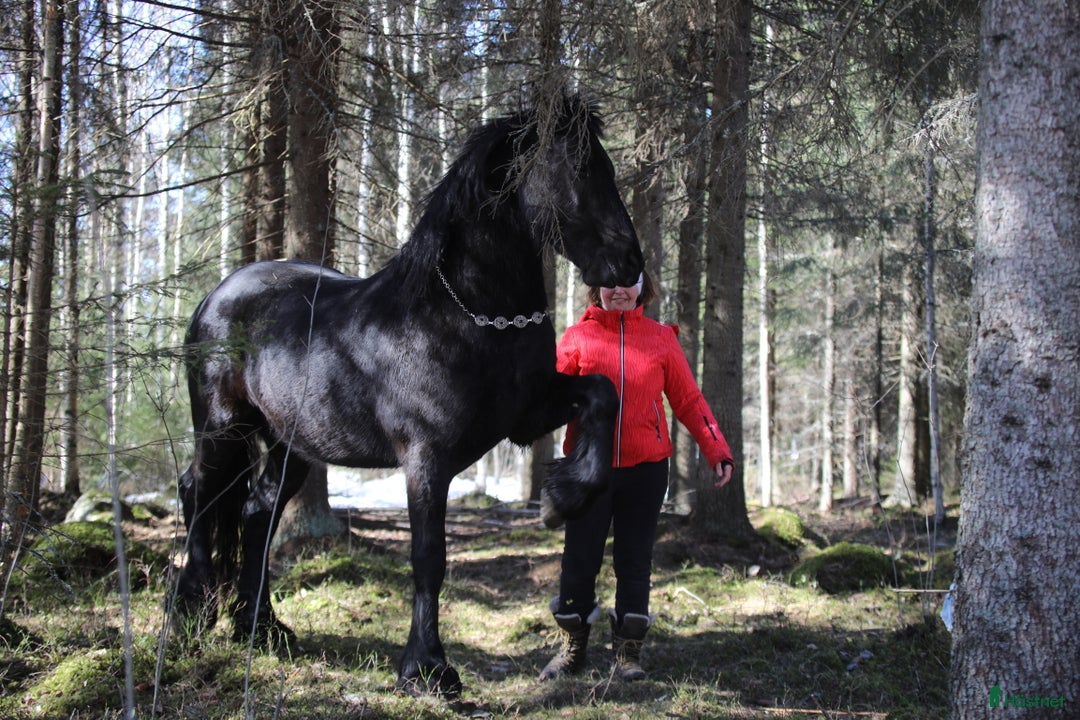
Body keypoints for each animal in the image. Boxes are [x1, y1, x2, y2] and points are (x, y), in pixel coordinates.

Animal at [173, 94, 643, 696]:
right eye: (581, 168)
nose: (629, 264)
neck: (466, 316)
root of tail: (219, 295)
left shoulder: (528, 413)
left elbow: (604, 394)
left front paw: (565, 497)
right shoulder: (426, 458)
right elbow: (429, 557)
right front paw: (428, 669)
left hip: (288, 446)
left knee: (256, 513)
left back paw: (262, 628)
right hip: (222, 426)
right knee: (200, 494)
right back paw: (192, 612)